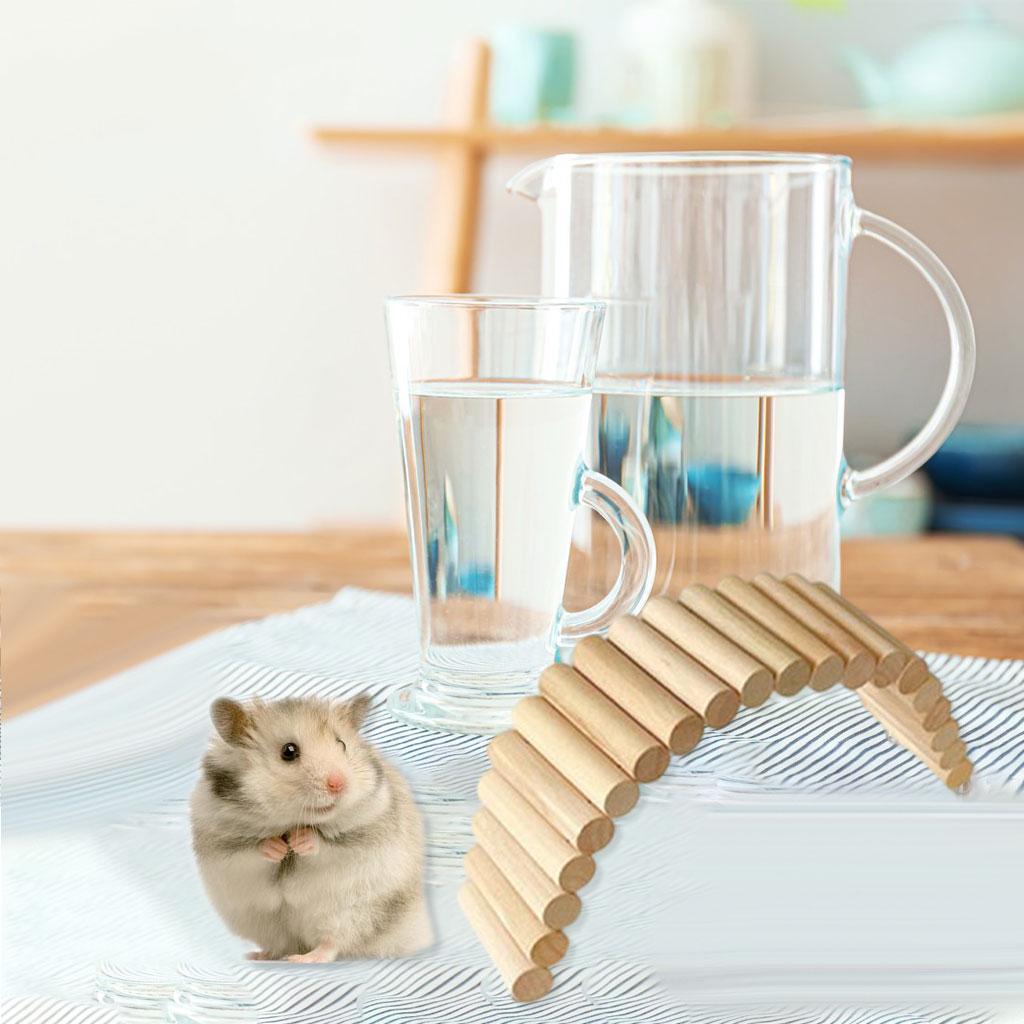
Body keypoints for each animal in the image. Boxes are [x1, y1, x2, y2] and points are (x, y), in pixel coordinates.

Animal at [190, 693, 432, 962]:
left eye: (342, 744)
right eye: (289, 751)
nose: (339, 784)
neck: (290, 822)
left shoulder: (364, 833)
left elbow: (326, 845)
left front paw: (300, 841)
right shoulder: (221, 843)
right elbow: (252, 850)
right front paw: (277, 848)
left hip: (351, 913)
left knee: (332, 943)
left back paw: (304, 958)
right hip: (260, 920)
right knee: (281, 944)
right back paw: (259, 955)